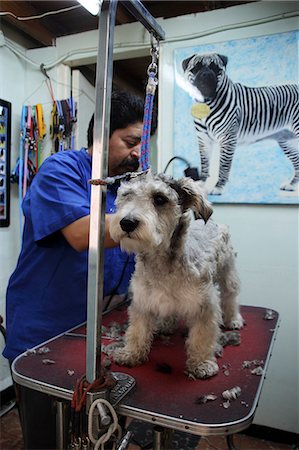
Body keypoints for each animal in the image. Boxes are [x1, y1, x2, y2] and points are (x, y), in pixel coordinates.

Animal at [109, 174, 244, 378]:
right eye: (127, 195)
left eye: (159, 199)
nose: (126, 223)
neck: (161, 263)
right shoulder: (142, 302)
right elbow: (138, 330)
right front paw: (131, 353)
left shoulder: (204, 306)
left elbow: (202, 336)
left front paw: (202, 363)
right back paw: (166, 324)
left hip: (228, 273)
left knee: (230, 297)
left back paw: (234, 319)